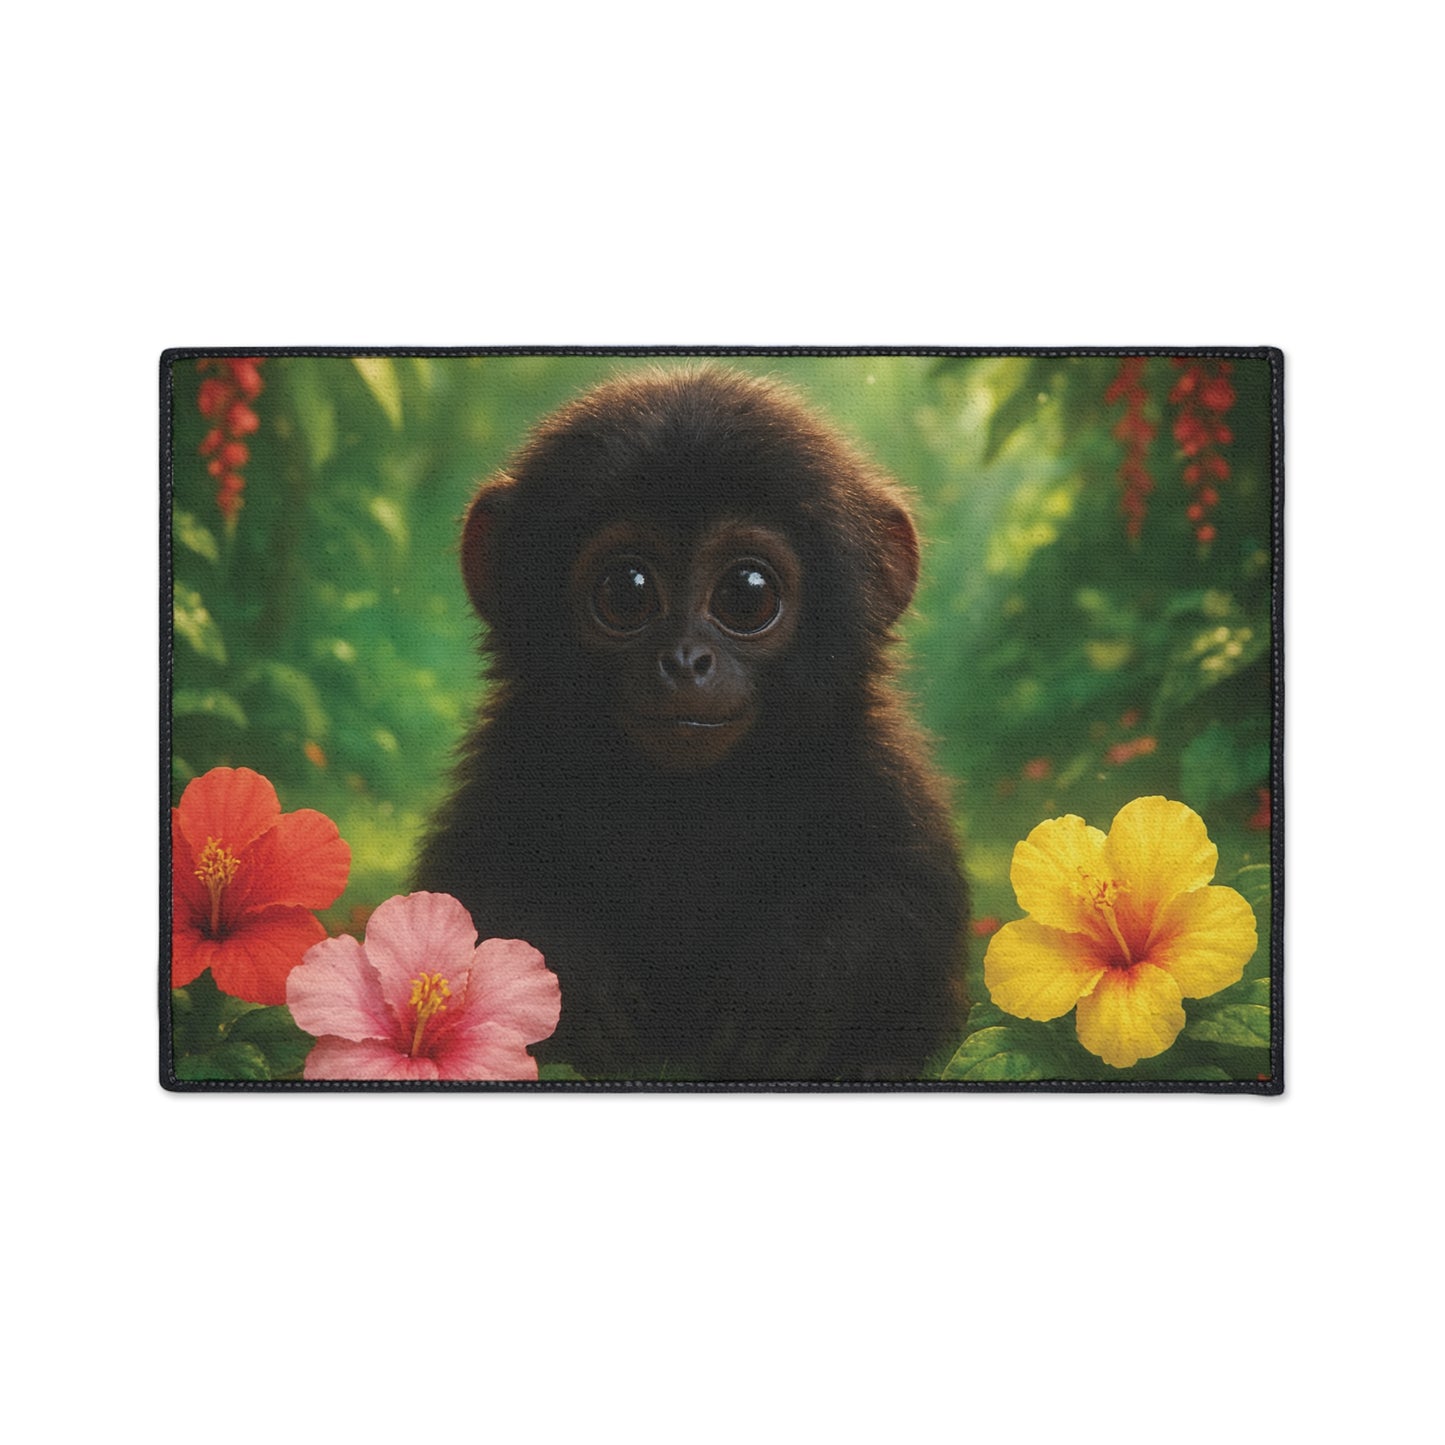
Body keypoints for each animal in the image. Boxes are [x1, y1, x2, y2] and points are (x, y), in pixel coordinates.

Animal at [414, 367, 967, 1081]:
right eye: (626, 590)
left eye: (747, 594)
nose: (685, 659)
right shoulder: (512, 761)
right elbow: (475, 888)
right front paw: (579, 986)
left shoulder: (875, 767)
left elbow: (903, 899)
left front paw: (787, 991)